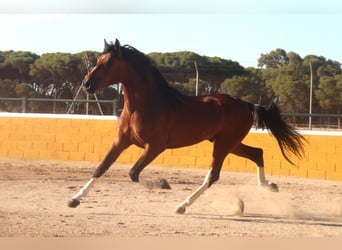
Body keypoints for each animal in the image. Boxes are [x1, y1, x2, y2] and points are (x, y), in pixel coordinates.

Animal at [67, 38, 304, 214]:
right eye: (97, 59)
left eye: (108, 63)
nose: (87, 85)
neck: (143, 105)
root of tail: (247, 104)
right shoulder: (122, 141)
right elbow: (101, 167)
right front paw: (74, 199)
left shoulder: (155, 147)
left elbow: (133, 173)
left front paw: (163, 183)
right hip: (230, 143)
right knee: (257, 153)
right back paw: (268, 186)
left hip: (224, 145)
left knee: (213, 175)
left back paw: (182, 205)